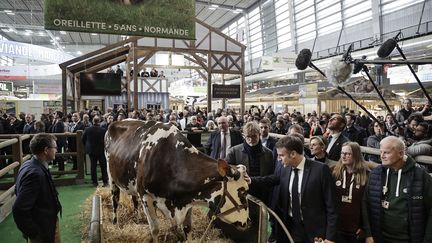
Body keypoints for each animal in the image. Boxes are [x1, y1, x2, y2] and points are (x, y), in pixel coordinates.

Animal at [104, 119, 250, 241]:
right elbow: (155, 229)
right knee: (115, 199)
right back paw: (115, 223)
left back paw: (137, 217)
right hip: (111, 176)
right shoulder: (146, 197)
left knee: (133, 199)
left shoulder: (188, 200)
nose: (249, 222)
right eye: (243, 192)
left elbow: (186, 229)